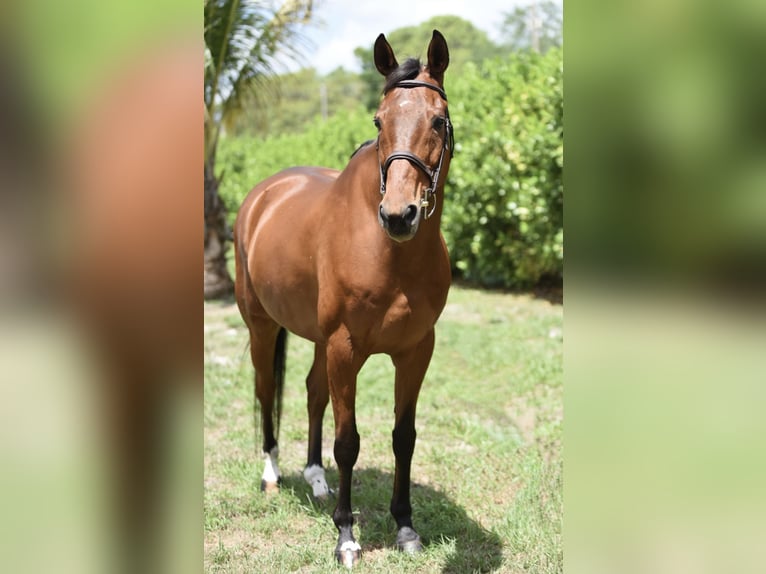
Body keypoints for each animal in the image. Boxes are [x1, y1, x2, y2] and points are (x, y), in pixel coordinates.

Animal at [233, 30, 454, 568]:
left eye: (438, 120)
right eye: (379, 121)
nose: (399, 215)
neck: (390, 254)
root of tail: (263, 194)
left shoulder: (416, 351)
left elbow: (403, 438)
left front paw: (405, 528)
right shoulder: (345, 348)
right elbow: (348, 442)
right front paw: (347, 537)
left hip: (316, 338)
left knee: (312, 392)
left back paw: (315, 478)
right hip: (262, 326)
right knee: (266, 391)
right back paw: (272, 475)